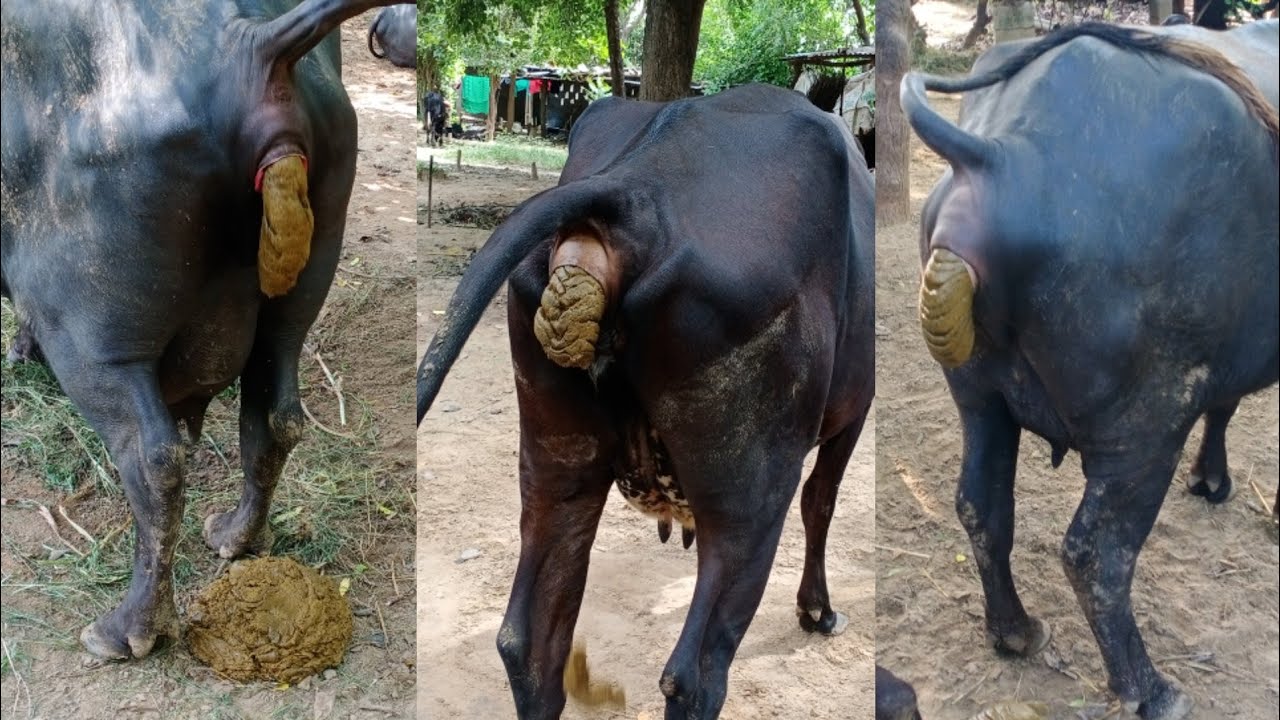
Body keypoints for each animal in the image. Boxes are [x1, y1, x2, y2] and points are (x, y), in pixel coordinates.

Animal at [0, 0, 411, 661]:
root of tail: (251, 49)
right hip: (293, 307)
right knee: (275, 418)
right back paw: (235, 537)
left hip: (97, 343)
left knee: (155, 461)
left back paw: (125, 631)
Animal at [417, 83, 875, 718]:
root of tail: (634, 192)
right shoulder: (855, 411)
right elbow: (821, 502)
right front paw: (818, 611)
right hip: (750, 498)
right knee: (695, 675)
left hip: (557, 464)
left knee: (528, 644)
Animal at [902, 21, 1278, 720]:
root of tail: (1003, 158)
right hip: (1143, 430)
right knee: (1097, 555)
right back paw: (1149, 689)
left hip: (981, 401)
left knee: (981, 508)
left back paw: (1015, 631)